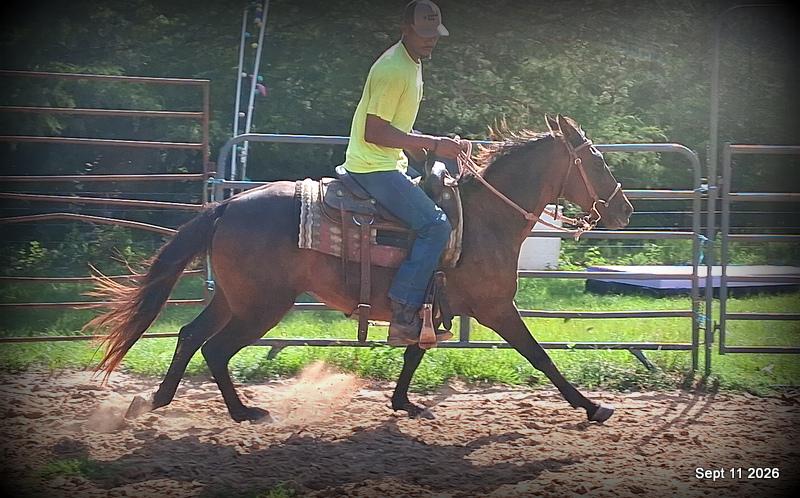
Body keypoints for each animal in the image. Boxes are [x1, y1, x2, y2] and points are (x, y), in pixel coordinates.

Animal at [86, 114, 633, 424]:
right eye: (597, 160)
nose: (624, 210)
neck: (483, 219)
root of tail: (226, 205)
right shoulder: (497, 308)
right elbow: (541, 357)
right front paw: (593, 407)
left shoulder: (430, 307)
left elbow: (413, 354)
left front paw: (405, 404)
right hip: (262, 306)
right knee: (215, 348)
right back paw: (243, 412)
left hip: (233, 298)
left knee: (190, 336)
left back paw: (155, 402)